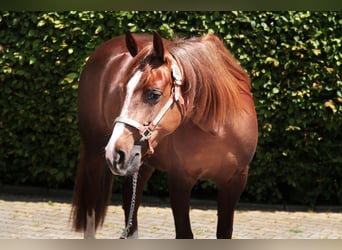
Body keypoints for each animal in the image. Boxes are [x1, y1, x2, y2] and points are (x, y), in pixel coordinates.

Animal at [73, 31, 260, 238]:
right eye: (123, 90)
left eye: (154, 94)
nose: (115, 152)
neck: (217, 127)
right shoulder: (180, 179)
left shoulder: (234, 181)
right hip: (95, 152)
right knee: (91, 203)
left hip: (140, 161)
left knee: (130, 202)